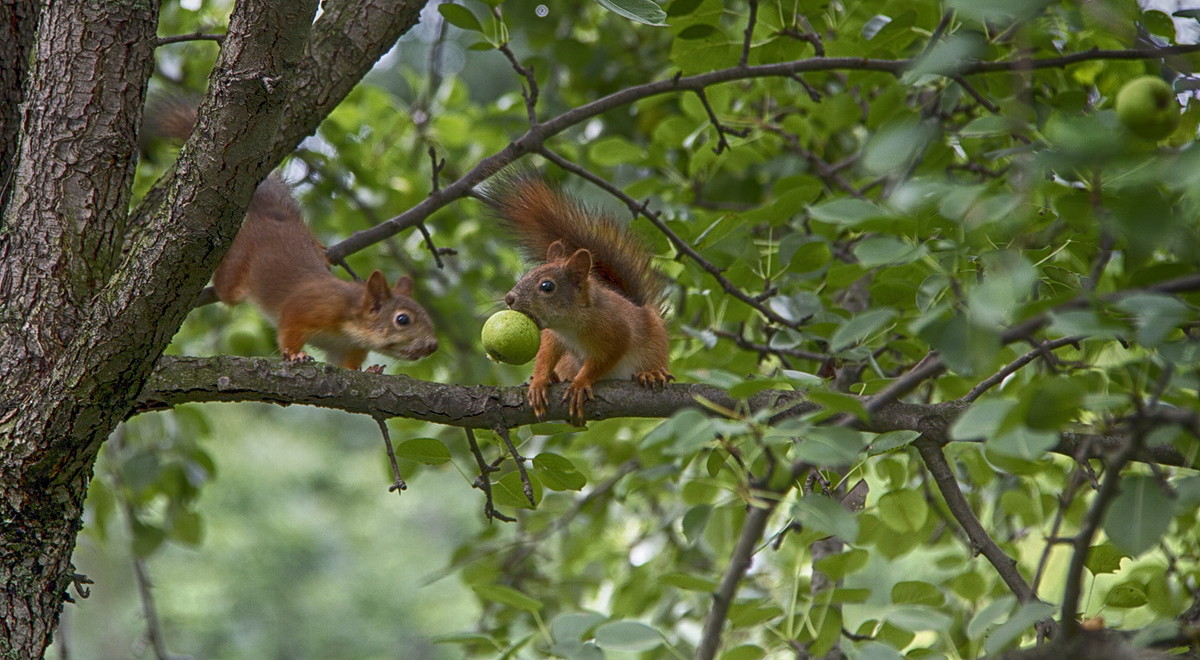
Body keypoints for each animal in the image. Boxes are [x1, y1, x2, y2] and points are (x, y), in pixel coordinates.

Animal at [145, 97, 436, 372]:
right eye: (402, 319)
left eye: (423, 313)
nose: (433, 345)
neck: (351, 320)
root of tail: (275, 217)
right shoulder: (307, 308)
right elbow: (289, 328)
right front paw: (295, 354)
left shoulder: (346, 347)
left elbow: (347, 366)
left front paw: (371, 370)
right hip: (239, 269)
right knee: (229, 284)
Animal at [487, 171, 676, 424]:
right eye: (526, 274)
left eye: (547, 286)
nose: (509, 299)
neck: (570, 323)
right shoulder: (554, 336)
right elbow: (546, 353)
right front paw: (540, 380)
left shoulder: (616, 332)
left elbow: (602, 360)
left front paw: (579, 383)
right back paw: (556, 378)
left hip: (654, 340)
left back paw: (652, 373)